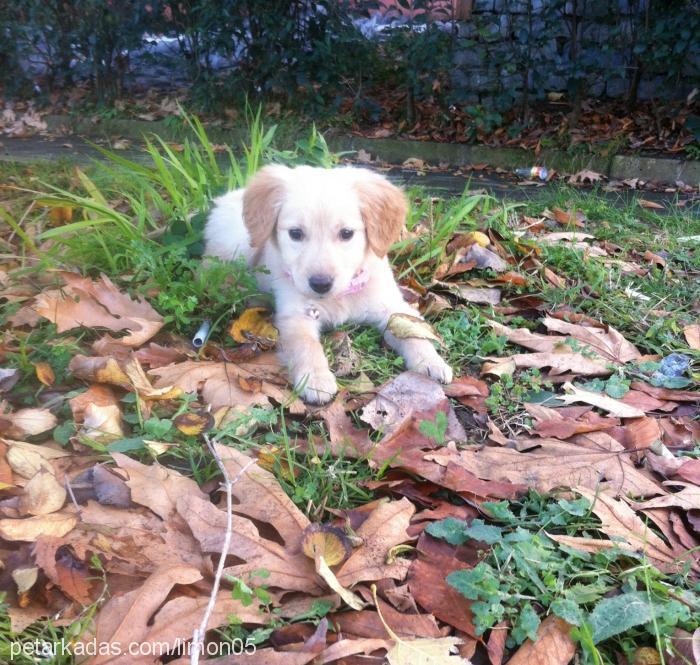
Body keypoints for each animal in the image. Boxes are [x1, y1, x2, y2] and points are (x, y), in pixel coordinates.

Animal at [204, 166, 454, 404]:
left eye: (347, 233)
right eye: (295, 233)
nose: (320, 284)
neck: (341, 294)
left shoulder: (391, 305)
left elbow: (412, 330)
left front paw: (431, 361)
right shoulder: (296, 315)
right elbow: (306, 345)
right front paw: (316, 380)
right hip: (236, 246)